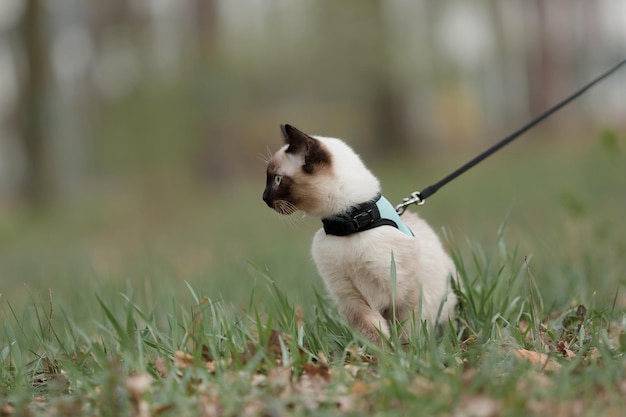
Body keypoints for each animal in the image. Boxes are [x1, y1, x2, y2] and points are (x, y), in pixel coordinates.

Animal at [260, 124, 456, 344]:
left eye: (277, 179)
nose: (264, 198)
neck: (350, 225)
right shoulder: (352, 299)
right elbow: (373, 332)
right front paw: (383, 352)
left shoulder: (404, 293)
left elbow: (406, 331)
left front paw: (405, 351)